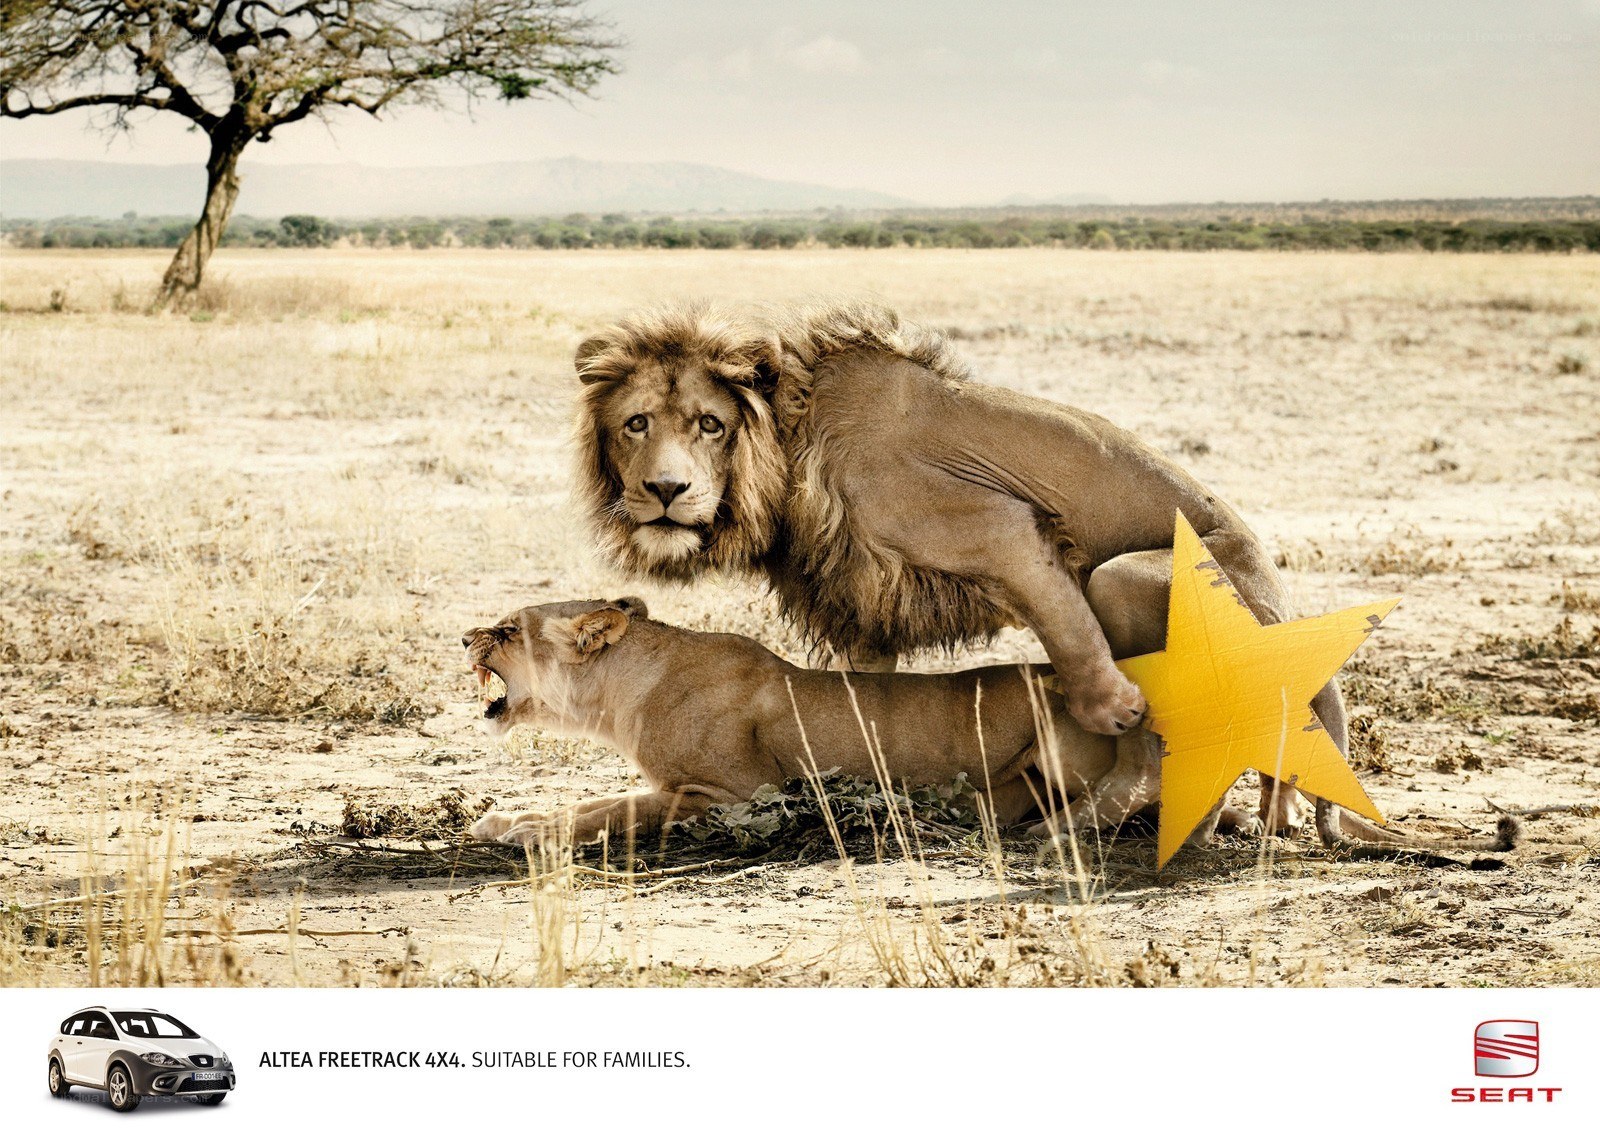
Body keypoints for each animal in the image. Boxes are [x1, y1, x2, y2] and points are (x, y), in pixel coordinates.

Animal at [570, 300, 1338, 838]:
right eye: (637, 424)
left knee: (1159, 742)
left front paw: (1114, 707)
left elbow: (1071, 636)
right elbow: (858, 700)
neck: (790, 448)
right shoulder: (864, 602)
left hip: (1126, 577)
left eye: (710, 425)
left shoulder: (1001, 524)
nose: (666, 490)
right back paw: (1269, 817)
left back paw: (1078, 822)